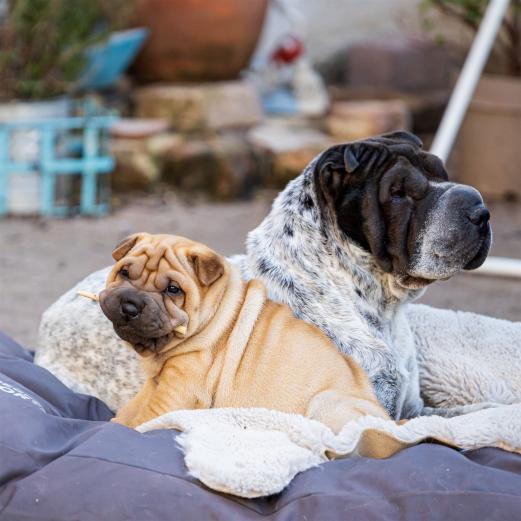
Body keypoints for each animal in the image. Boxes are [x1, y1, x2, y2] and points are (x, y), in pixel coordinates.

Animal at [99, 232, 401, 457]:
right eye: (124, 272)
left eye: (173, 290)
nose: (130, 305)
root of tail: (389, 423)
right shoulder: (156, 384)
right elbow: (132, 408)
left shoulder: (176, 391)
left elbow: (143, 419)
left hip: (327, 405)